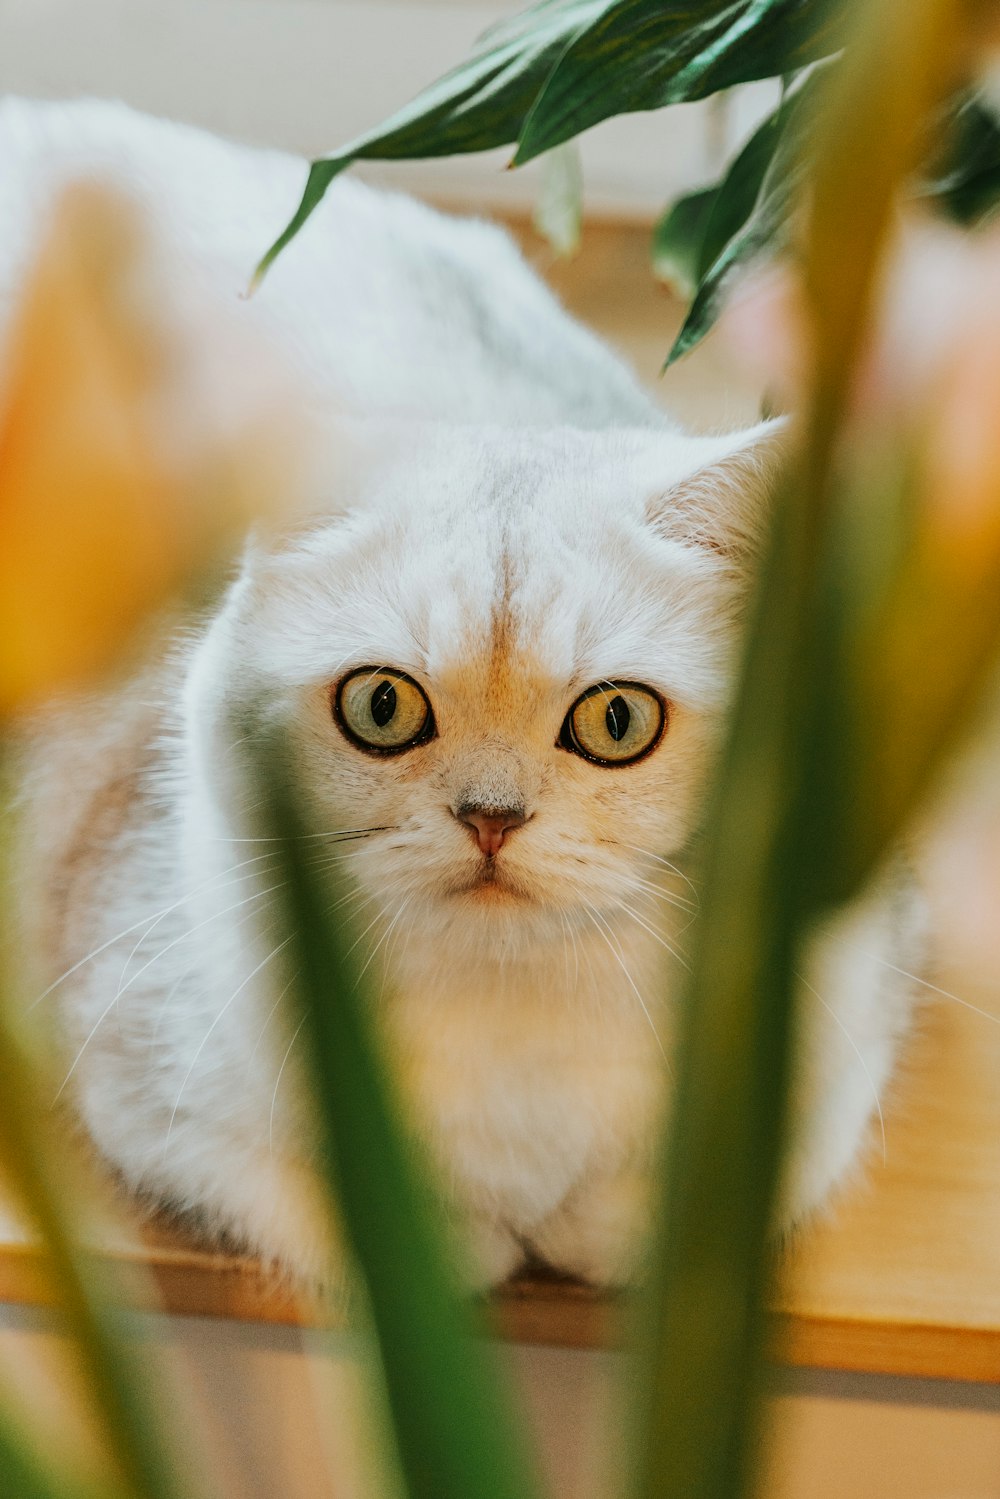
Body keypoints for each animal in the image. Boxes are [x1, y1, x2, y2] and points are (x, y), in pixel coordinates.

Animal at [3, 96, 923, 1289]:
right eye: (382, 708)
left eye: (616, 720)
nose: (491, 817)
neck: (514, 1018)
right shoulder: (146, 1073)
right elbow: (394, 1233)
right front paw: (482, 1240)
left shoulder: (837, 1046)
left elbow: (643, 1231)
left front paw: (578, 1230)